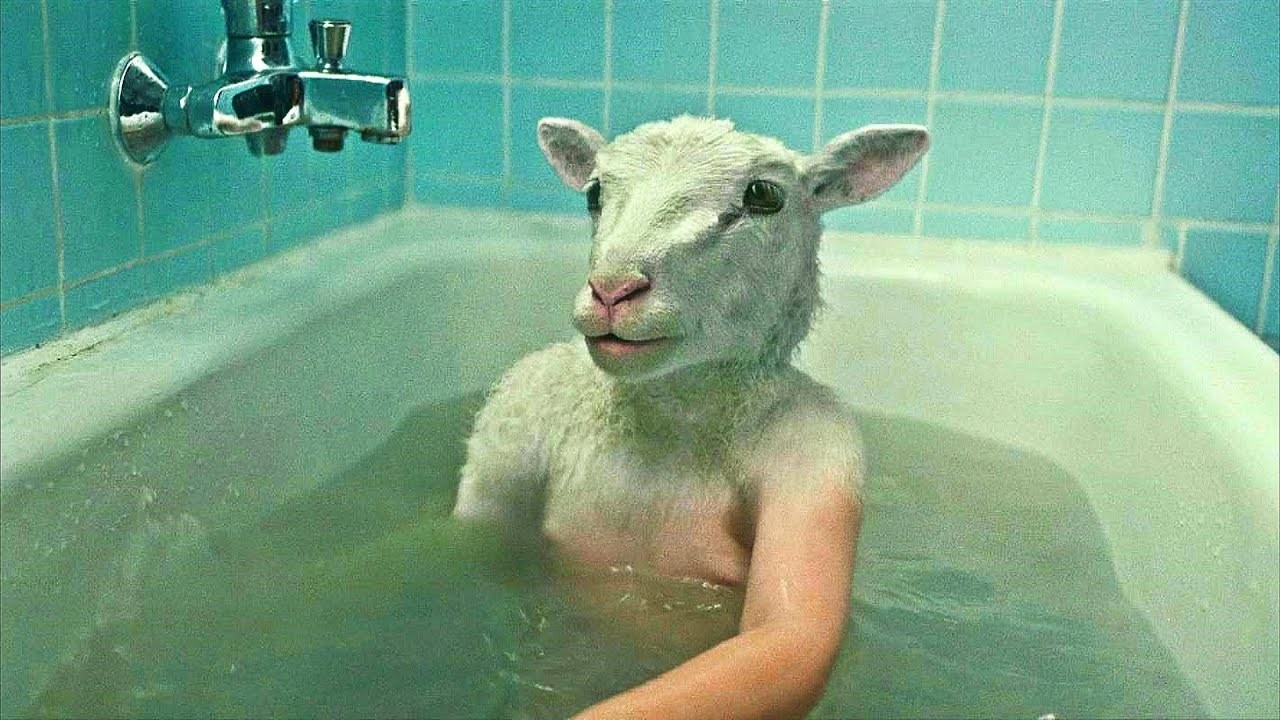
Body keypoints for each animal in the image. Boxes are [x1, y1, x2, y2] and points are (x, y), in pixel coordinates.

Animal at [453, 115, 929, 719]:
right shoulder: (518, 406)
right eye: (594, 192)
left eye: (764, 195)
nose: (612, 290)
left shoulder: (819, 445)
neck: (670, 420)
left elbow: (792, 633)